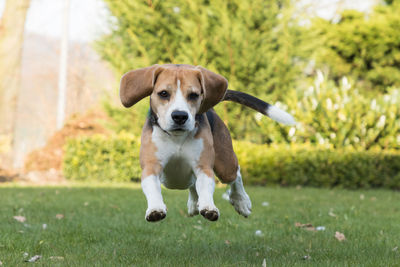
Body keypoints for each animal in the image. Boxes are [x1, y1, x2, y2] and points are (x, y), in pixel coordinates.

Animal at [119, 63, 294, 223]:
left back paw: (241, 201)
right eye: (163, 93)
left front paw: (209, 207)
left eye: (193, 95)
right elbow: (153, 188)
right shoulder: (151, 167)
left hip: (225, 165)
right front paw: (155, 208)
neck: (177, 137)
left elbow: (205, 187)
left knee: (235, 175)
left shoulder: (204, 167)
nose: (180, 116)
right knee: (192, 184)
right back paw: (194, 202)